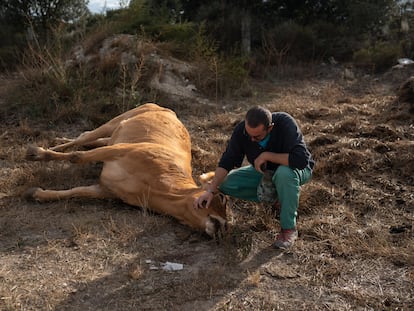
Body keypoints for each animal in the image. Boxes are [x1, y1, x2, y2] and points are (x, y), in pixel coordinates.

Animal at [24, 103, 228, 238]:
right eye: (222, 197)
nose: (225, 226)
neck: (157, 187)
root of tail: (168, 109)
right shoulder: (122, 149)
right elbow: (77, 157)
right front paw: (36, 153)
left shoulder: (108, 190)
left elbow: (76, 192)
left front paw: (36, 193)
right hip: (117, 121)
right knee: (84, 138)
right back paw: (53, 144)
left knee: (90, 138)